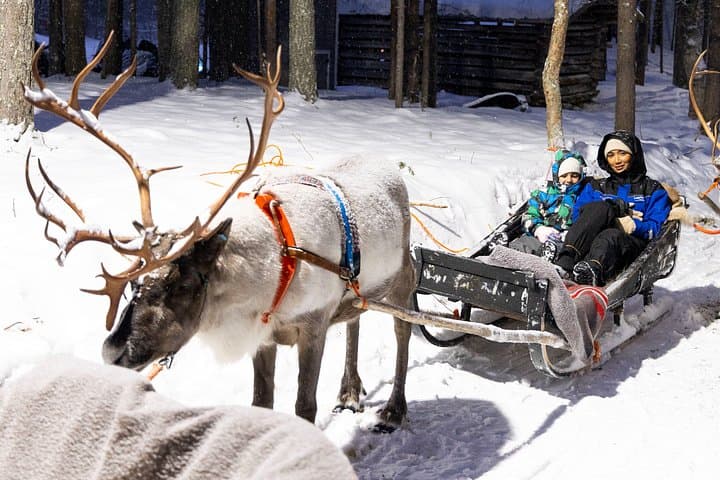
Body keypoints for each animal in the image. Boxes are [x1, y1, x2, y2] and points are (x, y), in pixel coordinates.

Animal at [23, 33, 415, 429]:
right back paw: (349, 392)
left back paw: (393, 410)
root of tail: (388, 165)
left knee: (403, 330)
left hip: (403, 277)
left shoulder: (313, 325)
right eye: (135, 285)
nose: (111, 351)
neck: (273, 271)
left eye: (181, 284)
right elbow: (262, 401)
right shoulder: (264, 337)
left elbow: (304, 408)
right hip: (360, 290)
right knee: (357, 318)